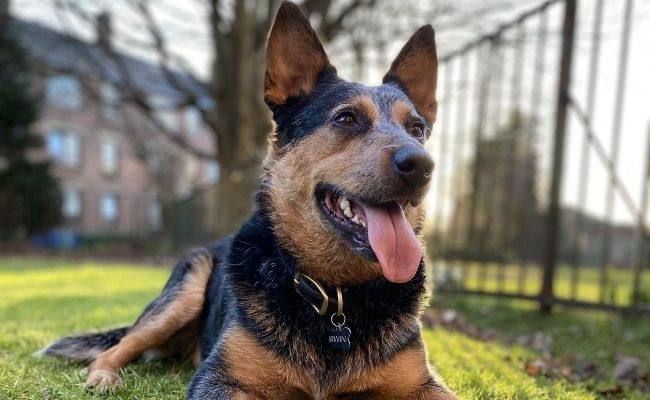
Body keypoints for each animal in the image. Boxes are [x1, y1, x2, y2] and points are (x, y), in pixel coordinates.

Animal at [40, 1, 456, 398]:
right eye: (347, 119)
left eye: (417, 129)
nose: (422, 164)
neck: (336, 296)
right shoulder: (219, 379)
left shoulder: (424, 384)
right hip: (182, 293)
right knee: (118, 347)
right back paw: (104, 377)